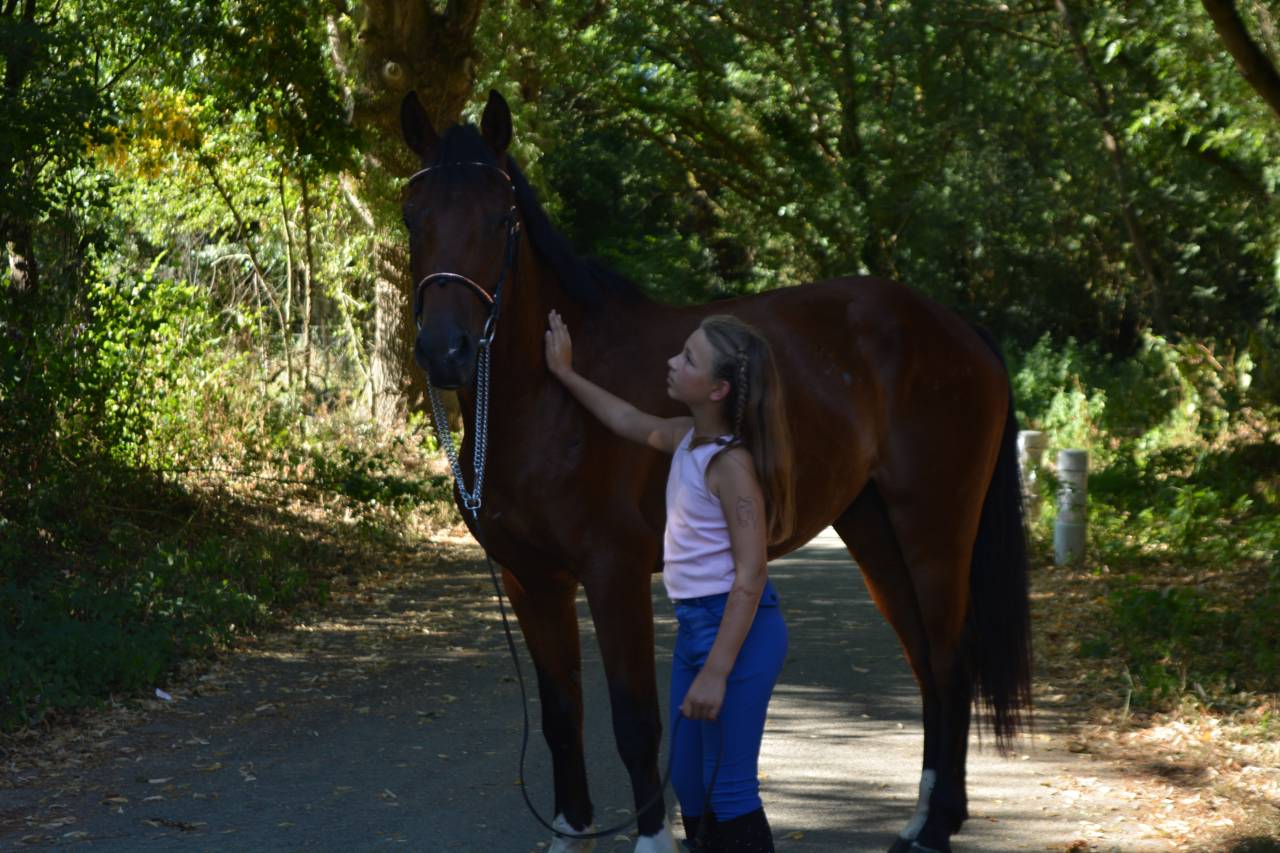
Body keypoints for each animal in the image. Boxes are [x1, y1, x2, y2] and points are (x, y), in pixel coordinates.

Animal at [398, 89, 1032, 853]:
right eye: (413, 216)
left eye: (500, 219)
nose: (445, 350)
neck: (543, 404)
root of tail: (959, 329)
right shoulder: (532, 580)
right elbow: (561, 716)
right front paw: (571, 830)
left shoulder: (612, 574)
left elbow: (635, 721)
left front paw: (650, 839)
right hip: (874, 529)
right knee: (926, 669)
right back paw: (920, 820)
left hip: (933, 531)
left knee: (948, 660)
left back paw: (935, 828)